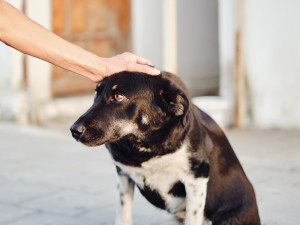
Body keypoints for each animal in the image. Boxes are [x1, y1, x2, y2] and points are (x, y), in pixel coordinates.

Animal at [70, 72, 260, 225]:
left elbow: (193, 218)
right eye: (96, 93)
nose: (74, 130)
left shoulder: (196, 178)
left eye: (118, 96)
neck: (147, 147)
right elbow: (123, 216)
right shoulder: (123, 174)